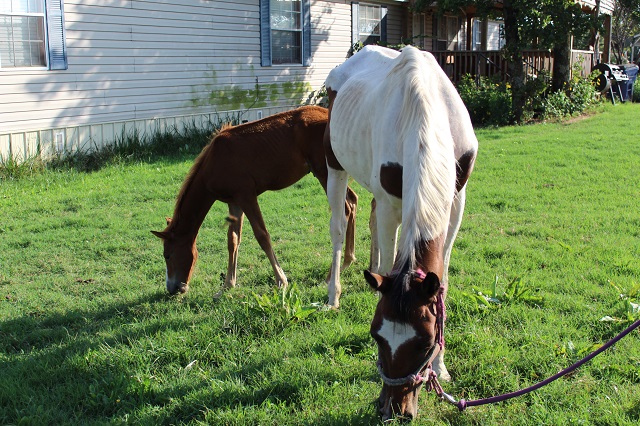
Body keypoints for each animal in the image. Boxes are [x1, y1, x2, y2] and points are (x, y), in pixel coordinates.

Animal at [322, 45, 478, 420]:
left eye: (425, 342)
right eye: (376, 336)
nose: (393, 410)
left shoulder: (456, 201)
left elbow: (442, 279)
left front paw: (441, 368)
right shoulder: (392, 201)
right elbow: (389, 263)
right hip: (334, 165)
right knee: (338, 228)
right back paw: (333, 294)